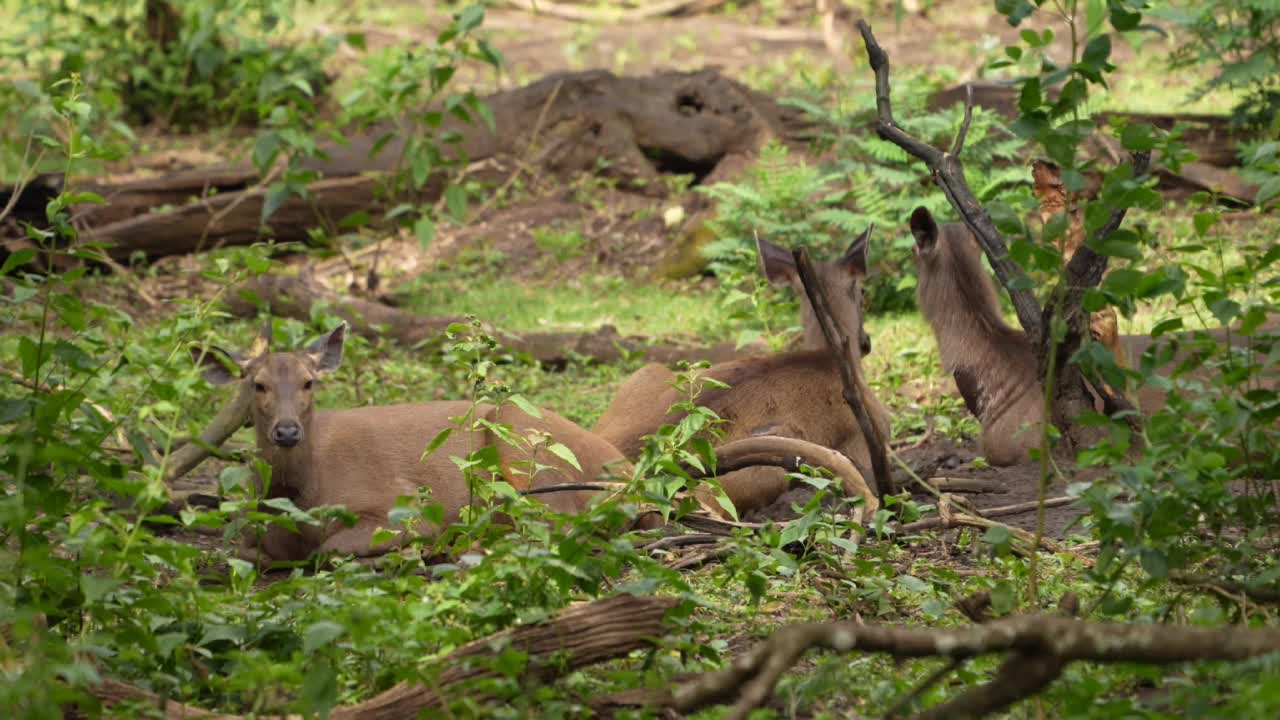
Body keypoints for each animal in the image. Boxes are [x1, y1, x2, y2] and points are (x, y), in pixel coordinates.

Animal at [192, 319, 880, 561]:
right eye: (255, 384)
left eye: (309, 382)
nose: (285, 430)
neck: (301, 493)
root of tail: (626, 470)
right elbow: (246, 546)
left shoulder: (398, 505)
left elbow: (334, 550)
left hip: (530, 460)